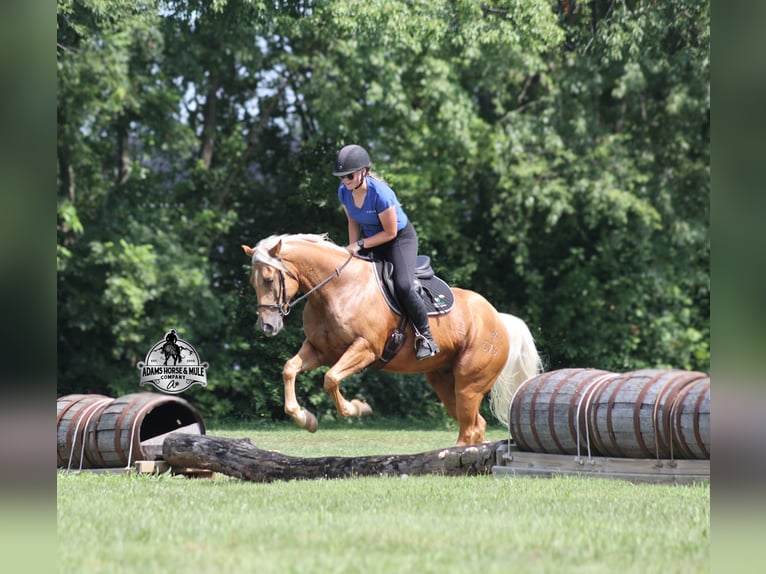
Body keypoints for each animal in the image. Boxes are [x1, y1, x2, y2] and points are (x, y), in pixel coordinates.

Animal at [241, 233, 542, 446]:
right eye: (253, 283)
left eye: (268, 280)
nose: (267, 326)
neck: (337, 289)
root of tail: (498, 319)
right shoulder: (319, 350)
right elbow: (290, 368)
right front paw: (306, 419)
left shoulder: (365, 349)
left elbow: (331, 379)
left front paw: (357, 408)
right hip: (444, 382)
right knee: (476, 425)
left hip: (469, 383)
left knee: (469, 428)